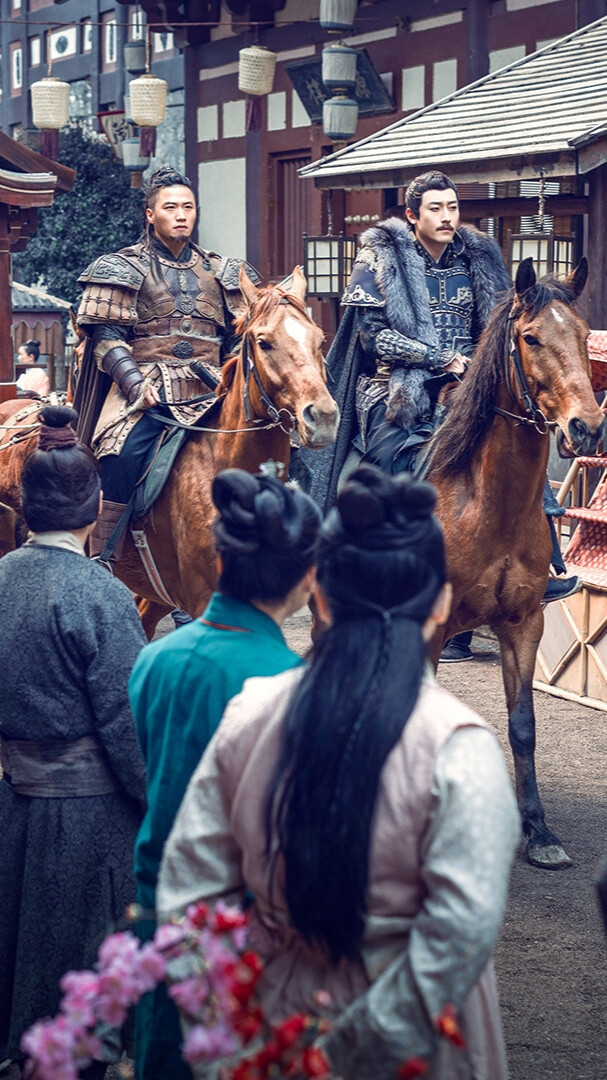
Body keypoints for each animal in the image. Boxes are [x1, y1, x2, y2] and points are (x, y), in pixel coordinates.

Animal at [423, 257, 600, 872]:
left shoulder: (524, 622)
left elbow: (524, 726)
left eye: (583, 333)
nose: (587, 427)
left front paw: (539, 831)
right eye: (531, 338)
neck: (488, 506)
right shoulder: (432, 628)